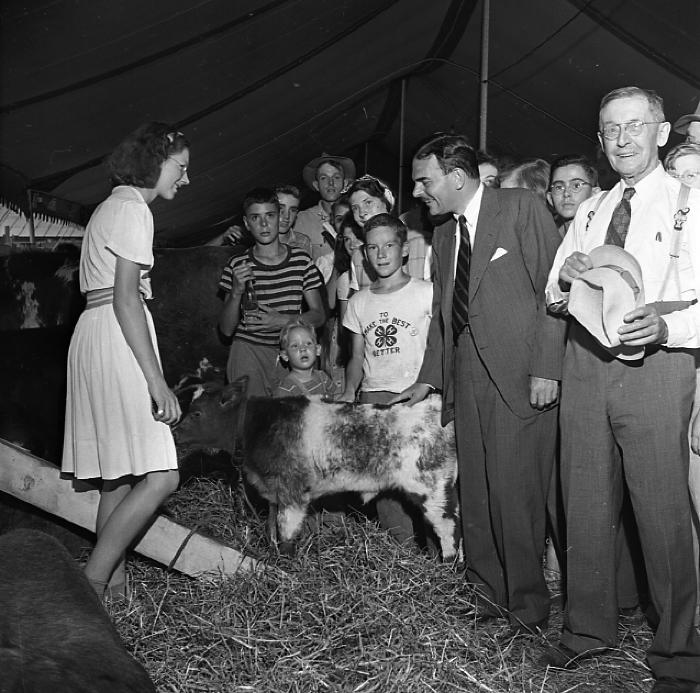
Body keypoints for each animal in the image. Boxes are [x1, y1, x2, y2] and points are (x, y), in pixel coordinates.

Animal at [173, 376, 462, 560]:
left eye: (197, 413)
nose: (174, 432)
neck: (258, 427)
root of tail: (434, 406)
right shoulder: (273, 492)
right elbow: (271, 528)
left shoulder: (292, 493)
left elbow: (286, 533)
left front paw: (286, 565)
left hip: (433, 488)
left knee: (448, 526)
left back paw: (447, 567)